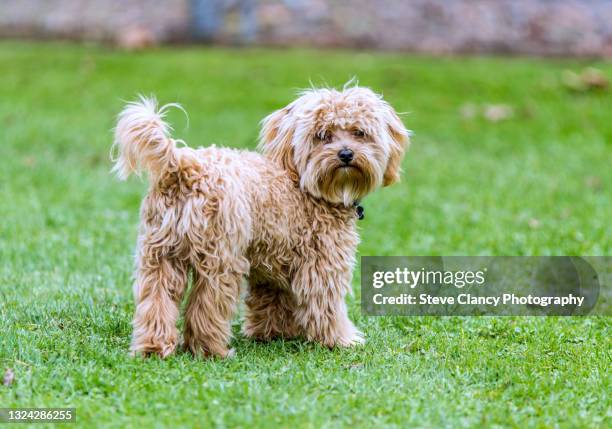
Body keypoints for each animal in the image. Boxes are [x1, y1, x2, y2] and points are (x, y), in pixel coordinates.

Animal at [113, 85, 412, 356]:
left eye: (359, 132)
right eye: (322, 136)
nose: (346, 154)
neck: (302, 183)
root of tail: (184, 167)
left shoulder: (271, 268)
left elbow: (270, 302)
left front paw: (272, 334)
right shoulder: (322, 262)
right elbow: (324, 305)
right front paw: (341, 340)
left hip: (159, 256)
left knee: (156, 300)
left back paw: (153, 348)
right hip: (220, 260)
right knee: (207, 307)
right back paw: (210, 350)